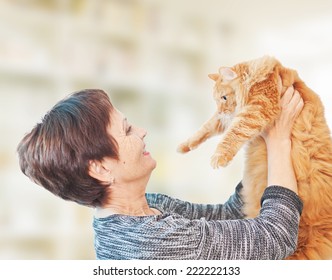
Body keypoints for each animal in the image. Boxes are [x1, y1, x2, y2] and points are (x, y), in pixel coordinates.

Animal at [178, 55, 332, 260]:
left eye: (224, 97)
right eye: (217, 100)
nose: (222, 110)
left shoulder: (257, 108)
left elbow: (233, 134)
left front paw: (219, 157)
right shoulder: (232, 116)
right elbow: (207, 126)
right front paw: (185, 145)